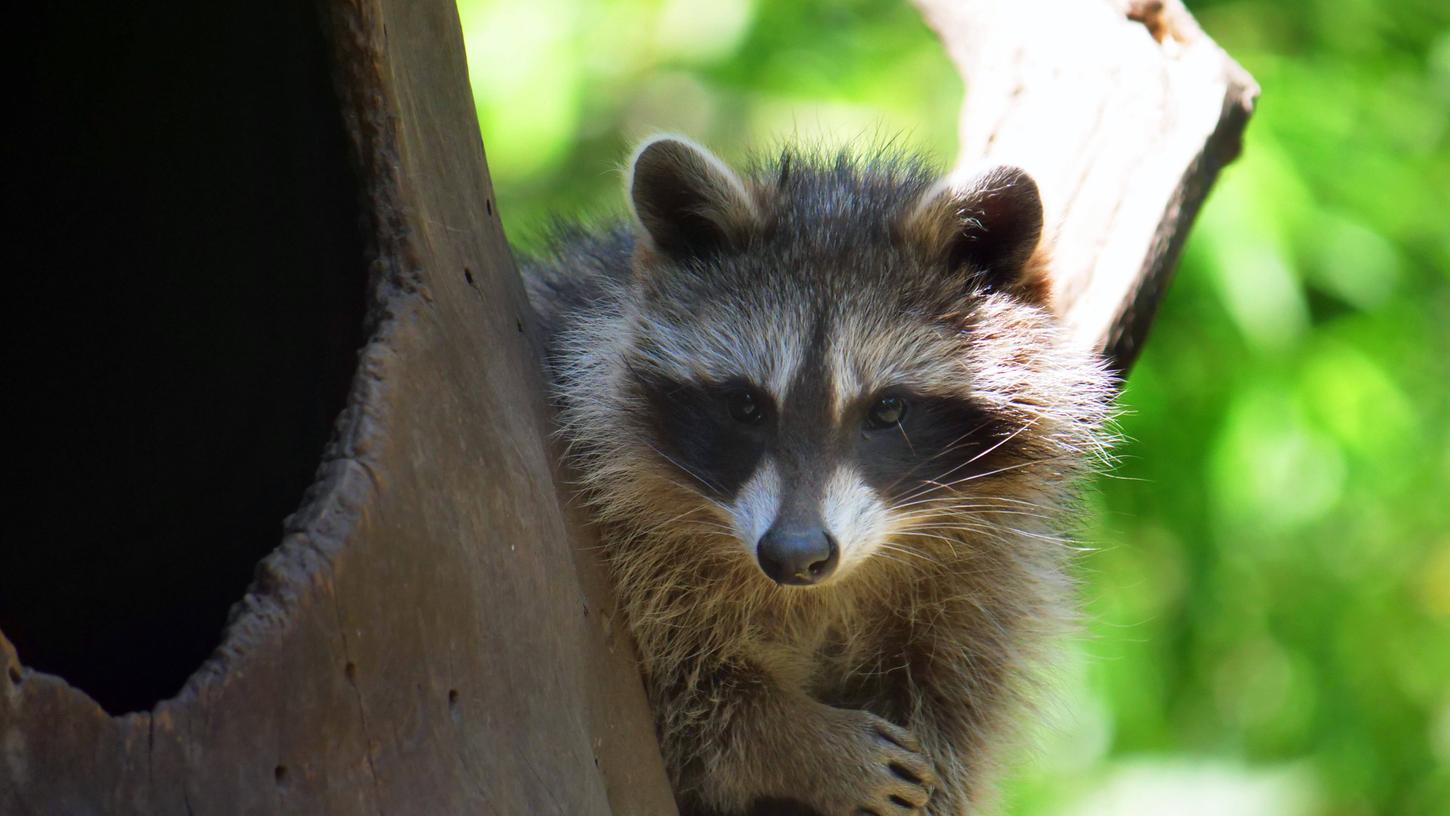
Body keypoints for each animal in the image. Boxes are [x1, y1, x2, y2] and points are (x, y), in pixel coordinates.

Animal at [522, 136, 1107, 811]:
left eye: (888, 409)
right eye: (746, 406)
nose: (793, 554)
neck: (826, 592)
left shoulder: (988, 586)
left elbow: (957, 716)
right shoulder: (627, 547)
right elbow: (689, 693)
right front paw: (803, 746)